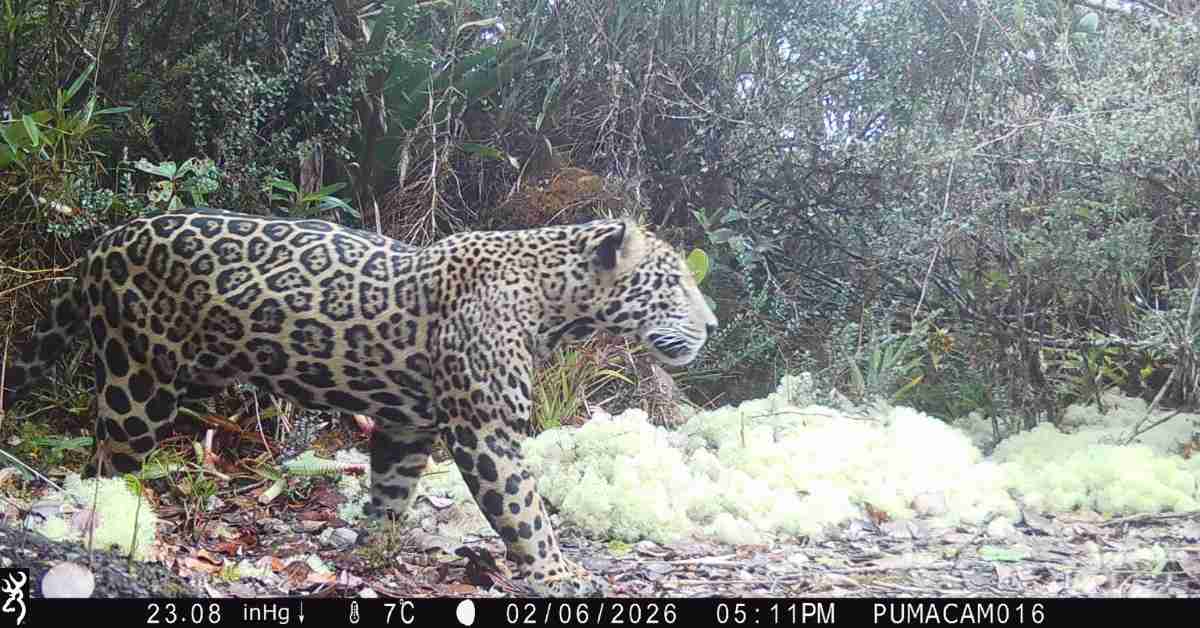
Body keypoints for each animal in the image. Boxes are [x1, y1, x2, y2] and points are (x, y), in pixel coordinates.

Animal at [1, 207, 717, 596]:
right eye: (674, 283)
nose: (711, 325)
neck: (554, 303)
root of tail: (102, 242)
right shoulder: (485, 428)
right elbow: (525, 511)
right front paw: (558, 573)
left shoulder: (407, 424)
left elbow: (392, 491)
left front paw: (375, 552)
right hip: (139, 379)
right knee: (108, 462)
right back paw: (117, 528)